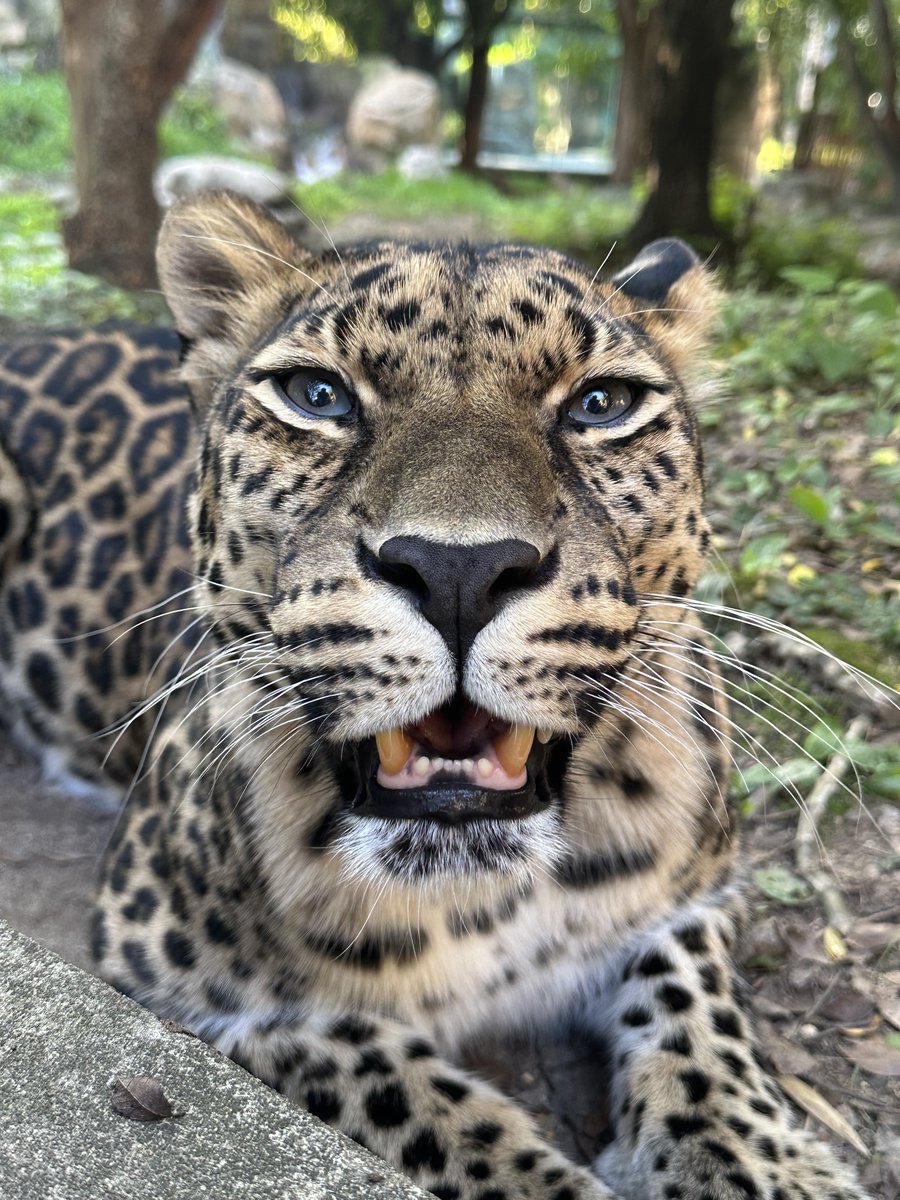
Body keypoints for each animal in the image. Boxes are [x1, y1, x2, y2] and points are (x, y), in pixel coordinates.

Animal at [0, 190, 870, 1200]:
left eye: (601, 404)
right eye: (318, 396)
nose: (460, 570)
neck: (483, 901)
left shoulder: (696, 894)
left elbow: (701, 1022)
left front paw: (755, 1166)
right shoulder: (179, 980)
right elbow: (416, 1100)